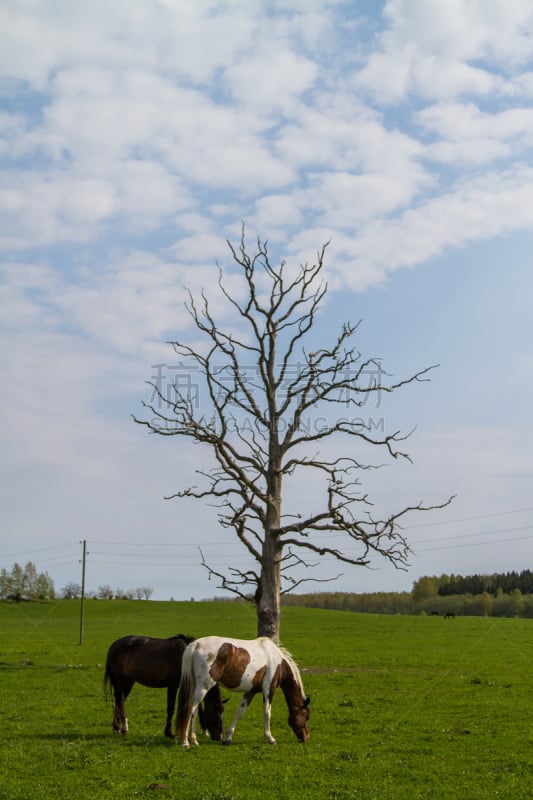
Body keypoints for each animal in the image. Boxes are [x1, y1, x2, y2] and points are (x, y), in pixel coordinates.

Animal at [177, 636, 310, 748]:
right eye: (307, 716)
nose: (306, 737)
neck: (277, 661)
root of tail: (196, 644)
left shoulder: (251, 692)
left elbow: (239, 712)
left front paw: (228, 738)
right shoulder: (269, 689)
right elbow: (267, 713)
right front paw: (270, 738)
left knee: (194, 711)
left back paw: (193, 740)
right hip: (203, 687)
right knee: (190, 709)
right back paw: (185, 742)